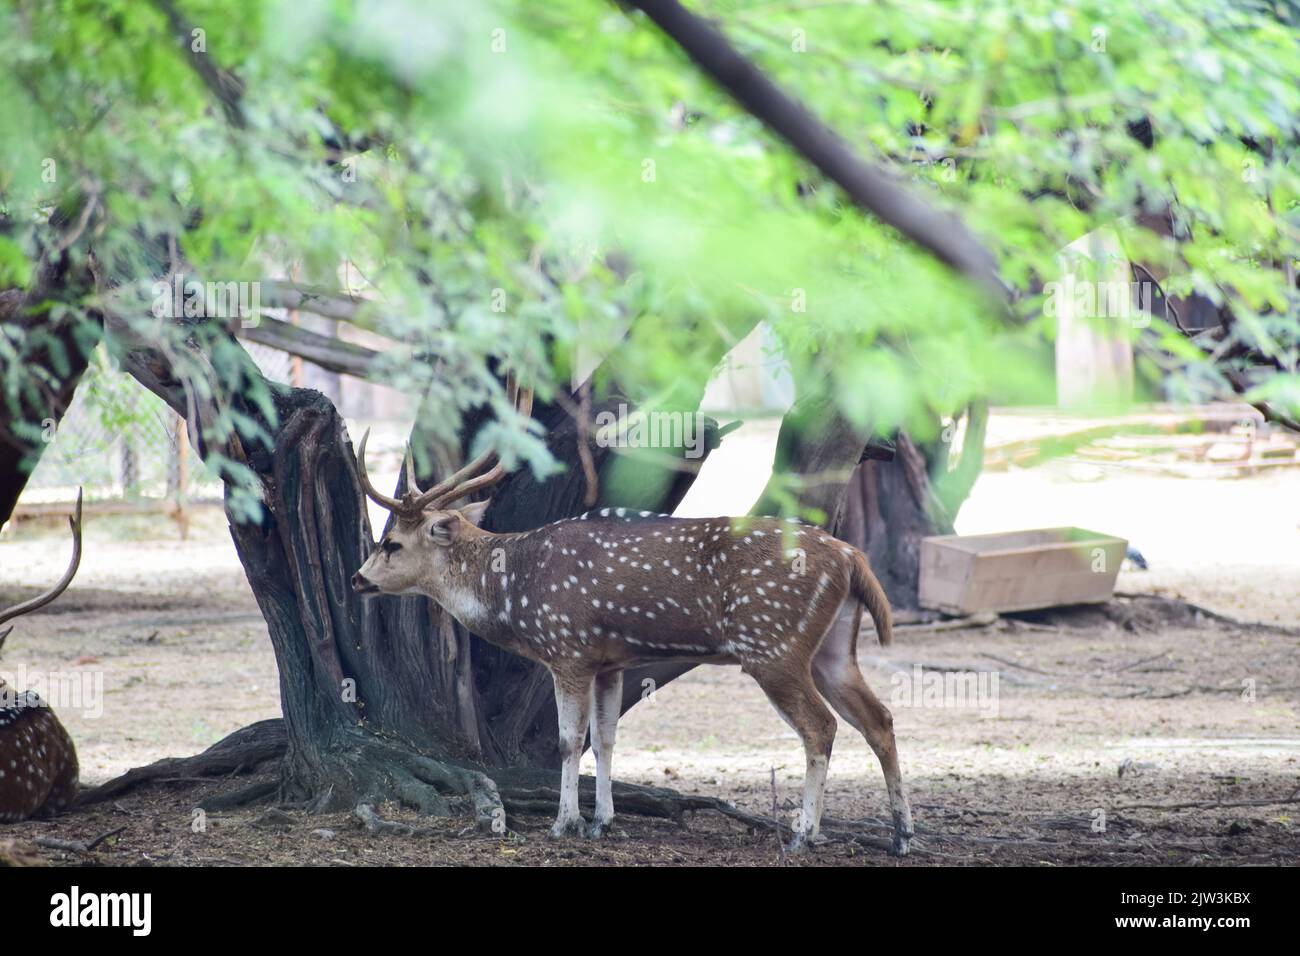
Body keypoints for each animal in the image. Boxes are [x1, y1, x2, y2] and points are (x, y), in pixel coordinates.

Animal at [351, 392, 909, 858]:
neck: (515, 590)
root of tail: (851, 557)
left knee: (822, 727)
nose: (358, 579)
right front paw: (602, 821)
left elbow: (569, 740)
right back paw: (900, 837)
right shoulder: (610, 662)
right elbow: (606, 739)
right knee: (879, 718)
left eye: (392, 543)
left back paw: (803, 834)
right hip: (833, 647)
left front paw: (564, 824)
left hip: (773, 645)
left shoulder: (569, 649)